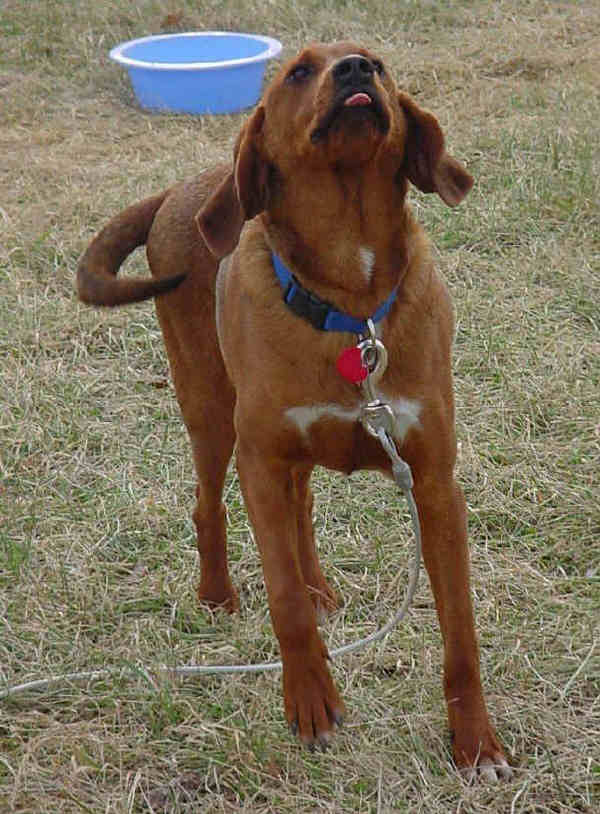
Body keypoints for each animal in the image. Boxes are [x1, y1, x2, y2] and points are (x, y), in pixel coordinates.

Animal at [77, 41, 510, 780]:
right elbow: (283, 604)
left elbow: (461, 635)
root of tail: (179, 190)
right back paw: (218, 595)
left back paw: (319, 588)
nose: (356, 70)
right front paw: (310, 699)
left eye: (379, 64)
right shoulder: (260, 459)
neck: (349, 295)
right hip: (210, 410)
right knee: (209, 505)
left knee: (302, 506)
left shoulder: (433, 482)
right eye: (298, 72)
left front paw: (476, 742)